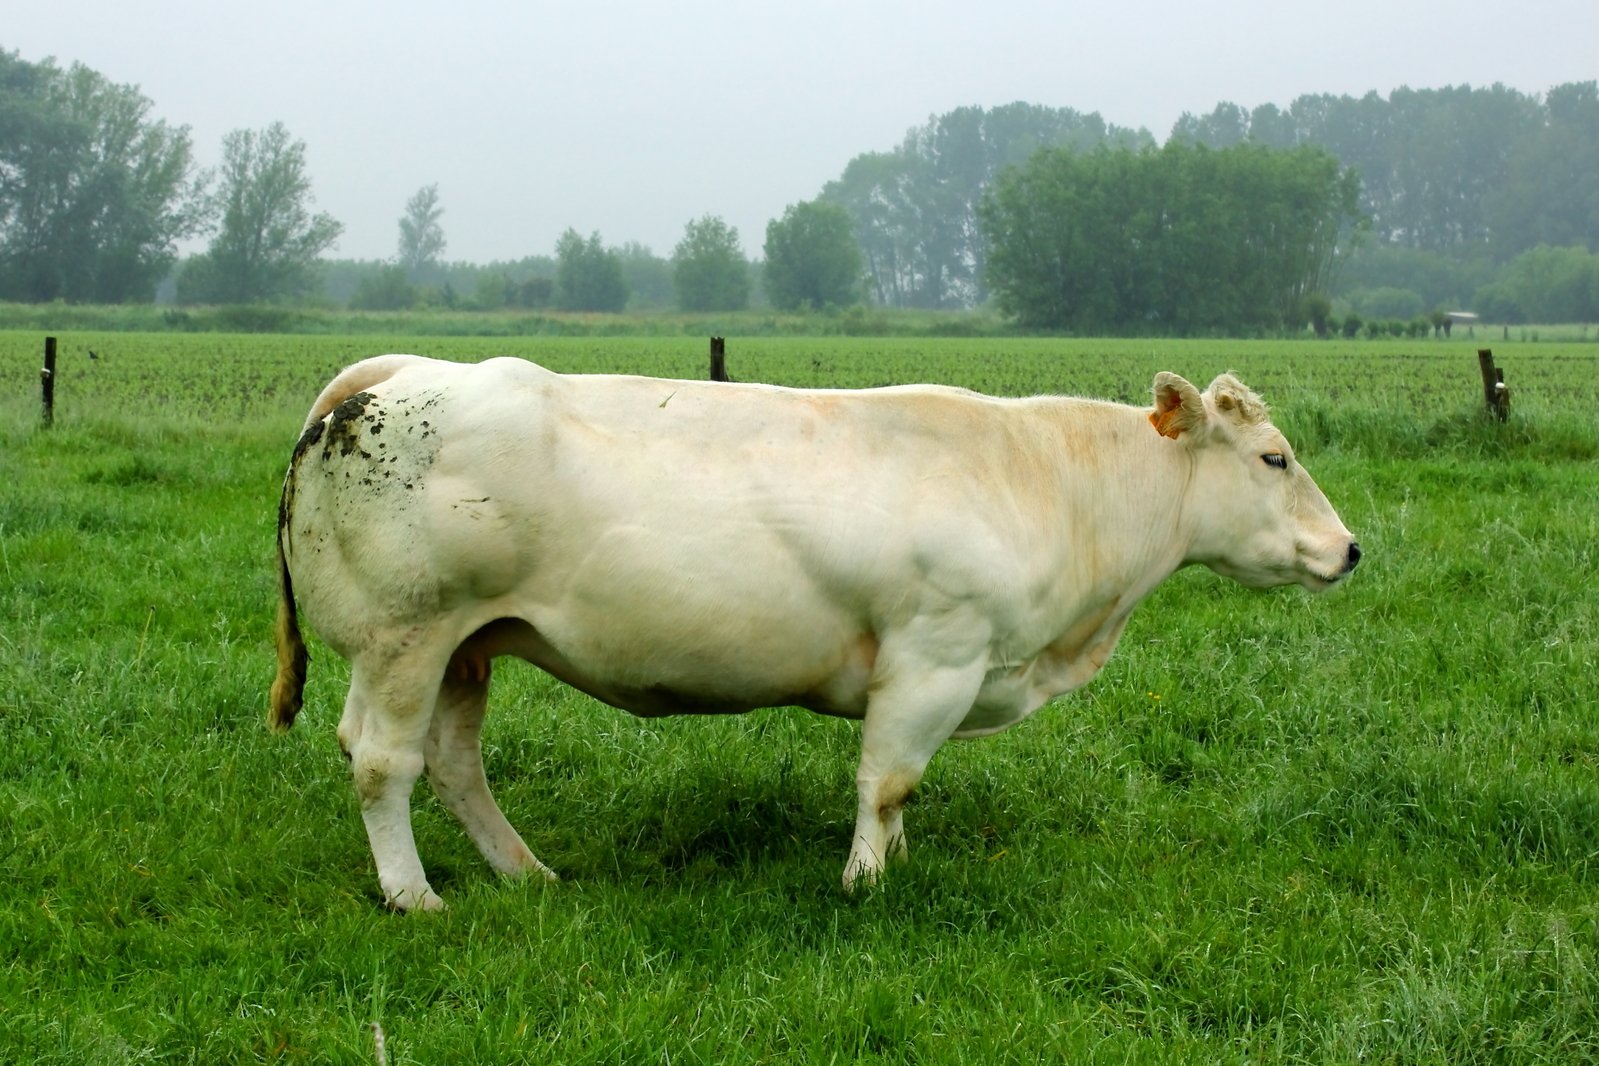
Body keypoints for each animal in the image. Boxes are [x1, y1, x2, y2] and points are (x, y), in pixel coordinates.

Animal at [268, 356, 1355, 907]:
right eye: (1273, 457)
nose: (1348, 550)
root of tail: (390, 378)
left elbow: (900, 785)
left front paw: (896, 859)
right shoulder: (935, 652)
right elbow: (889, 778)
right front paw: (864, 883)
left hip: (466, 643)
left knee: (451, 762)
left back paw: (525, 871)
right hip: (408, 631)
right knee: (384, 761)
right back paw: (413, 895)